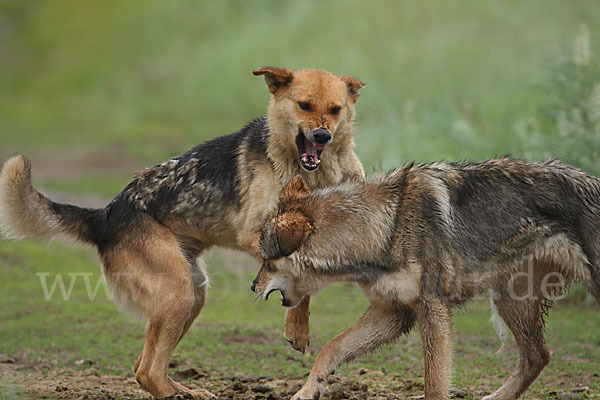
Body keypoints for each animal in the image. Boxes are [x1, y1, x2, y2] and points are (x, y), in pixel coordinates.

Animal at [0, 67, 366, 398]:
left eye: (335, 109)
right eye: (304, 105)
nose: (322, 136)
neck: (313, 172)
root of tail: (104, 216)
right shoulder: (258, 233)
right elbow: (299, 281)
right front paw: (297, 329)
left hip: (192, 293)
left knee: (144, 365)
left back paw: (188, 390)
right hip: (178, 293)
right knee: (147, 371)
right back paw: (176, 393)